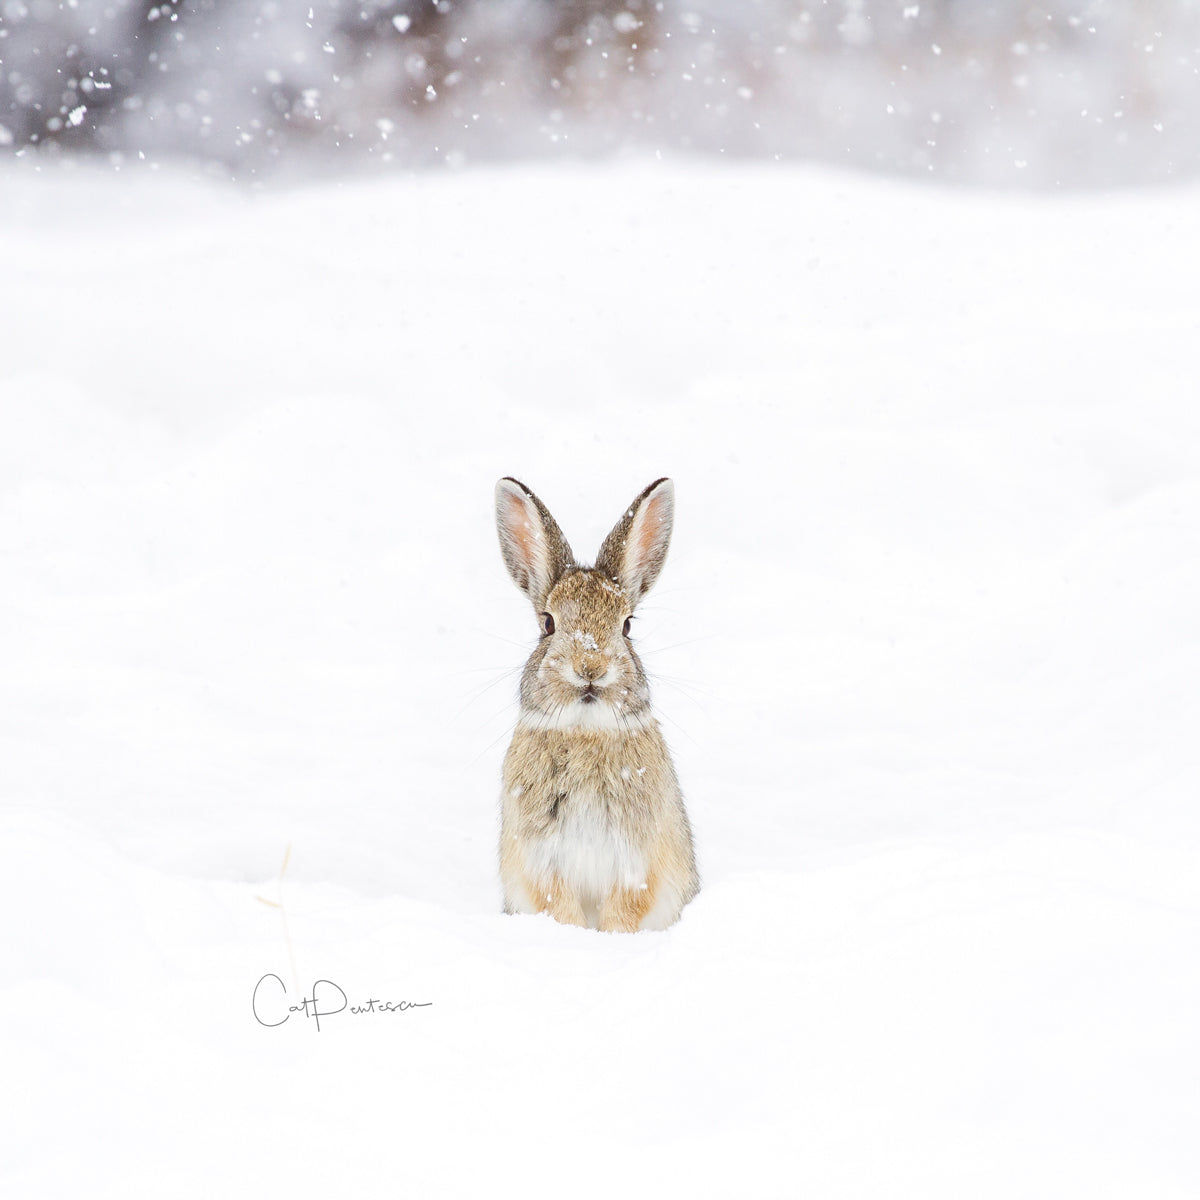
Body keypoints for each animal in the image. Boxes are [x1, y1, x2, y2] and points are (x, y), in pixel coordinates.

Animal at [492, 472, 700, 931]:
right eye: (548, 624)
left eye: (627, 626)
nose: (590, 668)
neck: (585, 732)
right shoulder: (543, 864)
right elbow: (559, 907)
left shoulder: (637, 863)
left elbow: (626, 908)